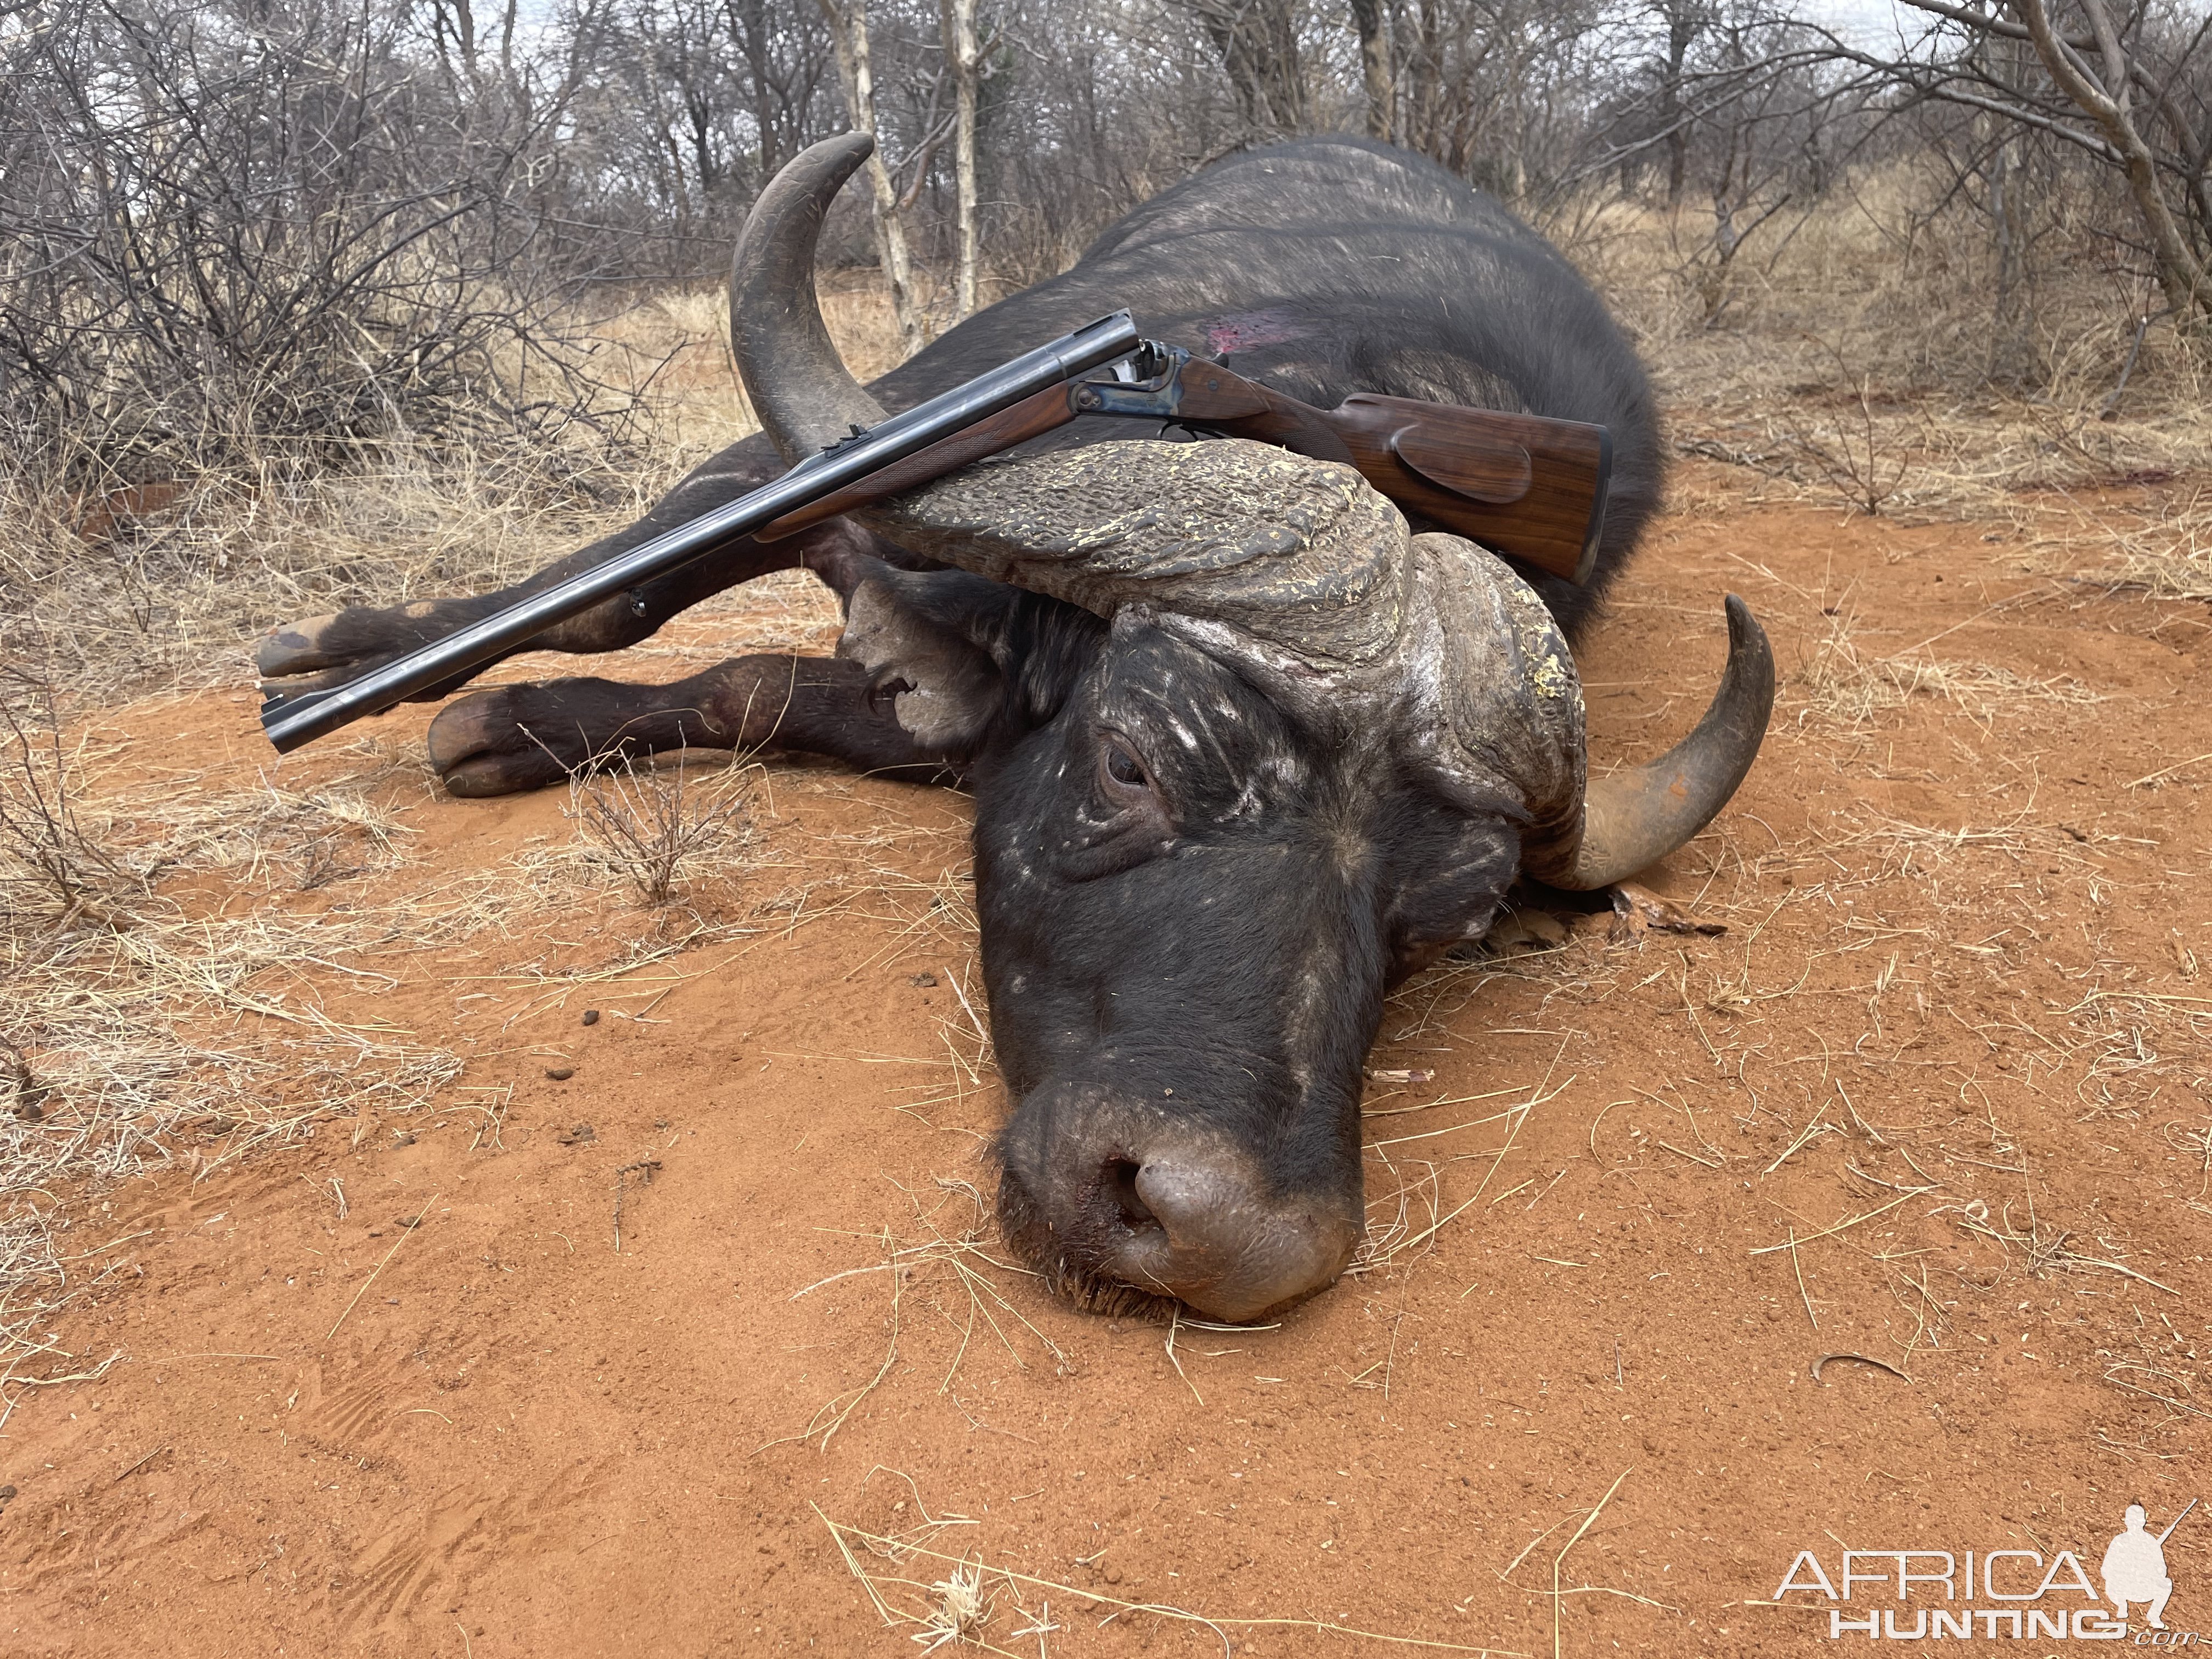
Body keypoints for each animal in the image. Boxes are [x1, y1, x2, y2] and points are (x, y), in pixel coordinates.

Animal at [263, 133, 1778, 1327]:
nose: (1227, 1240)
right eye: (1131, 762)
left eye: (1453, 926)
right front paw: (374, 661)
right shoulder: (835, 456)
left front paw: (500, 719)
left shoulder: (946, 708)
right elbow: (618, 593)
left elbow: (756, 687)